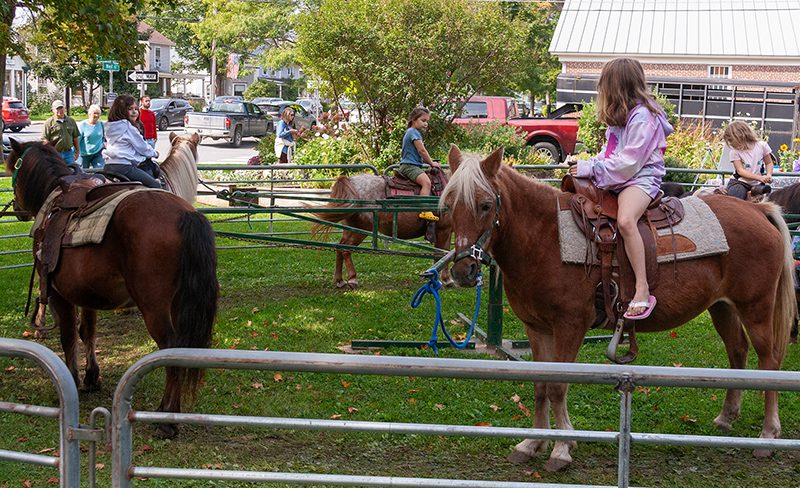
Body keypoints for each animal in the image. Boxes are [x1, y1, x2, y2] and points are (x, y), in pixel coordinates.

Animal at [5, 138, 219, 438]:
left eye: (13, 166)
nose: (17, 209)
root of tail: (184, 215)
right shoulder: (86, 295)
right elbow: (87, 332)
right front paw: (92, 377)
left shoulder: (59, 294)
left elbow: (68, 336)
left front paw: (72, 379)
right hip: (180, 303)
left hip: (154, 307)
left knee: (171, 347)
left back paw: (166, 419)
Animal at [310, 173, 454, 288]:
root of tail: (350, 182)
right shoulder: (444, 230)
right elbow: (443, 253)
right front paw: (446, 279)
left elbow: (440, 254)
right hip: (360, 230)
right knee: (346, 249)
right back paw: (352, 279)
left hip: (350, 228)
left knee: (339, 247)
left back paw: (339, 280)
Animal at [440, 146, 796, 472]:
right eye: (449, 206)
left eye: (486, 205)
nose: (463, 271)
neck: (546, 237)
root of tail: (759, 211)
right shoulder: (537, 327)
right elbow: (541, 386)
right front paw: (532, 443)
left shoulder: (570, 326)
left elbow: (557, 386)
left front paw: (561, 449)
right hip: (722, 307)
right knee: (737, 352)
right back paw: (726, 418)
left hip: (756, 308)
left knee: (769, 361)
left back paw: (767, 436)